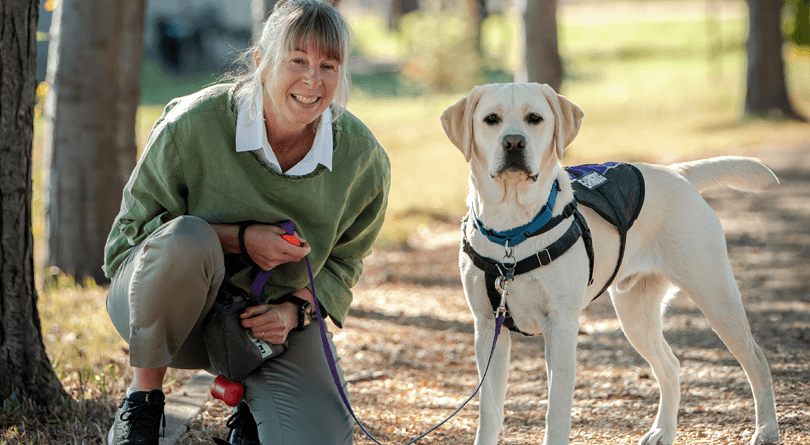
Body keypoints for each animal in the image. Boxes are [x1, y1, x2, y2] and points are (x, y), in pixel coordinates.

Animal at [438, 83, 780, 444]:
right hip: (636, 315)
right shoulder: (488, 327)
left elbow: (556, 411)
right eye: (491, 119)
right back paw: (663, 431)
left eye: (535, 118)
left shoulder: (561, 326)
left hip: (715, 297)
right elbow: (489, 411)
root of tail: (676, 172)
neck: (512, 233)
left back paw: (766, 429)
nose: (514, 142)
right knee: (670, 366)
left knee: (757, 360)